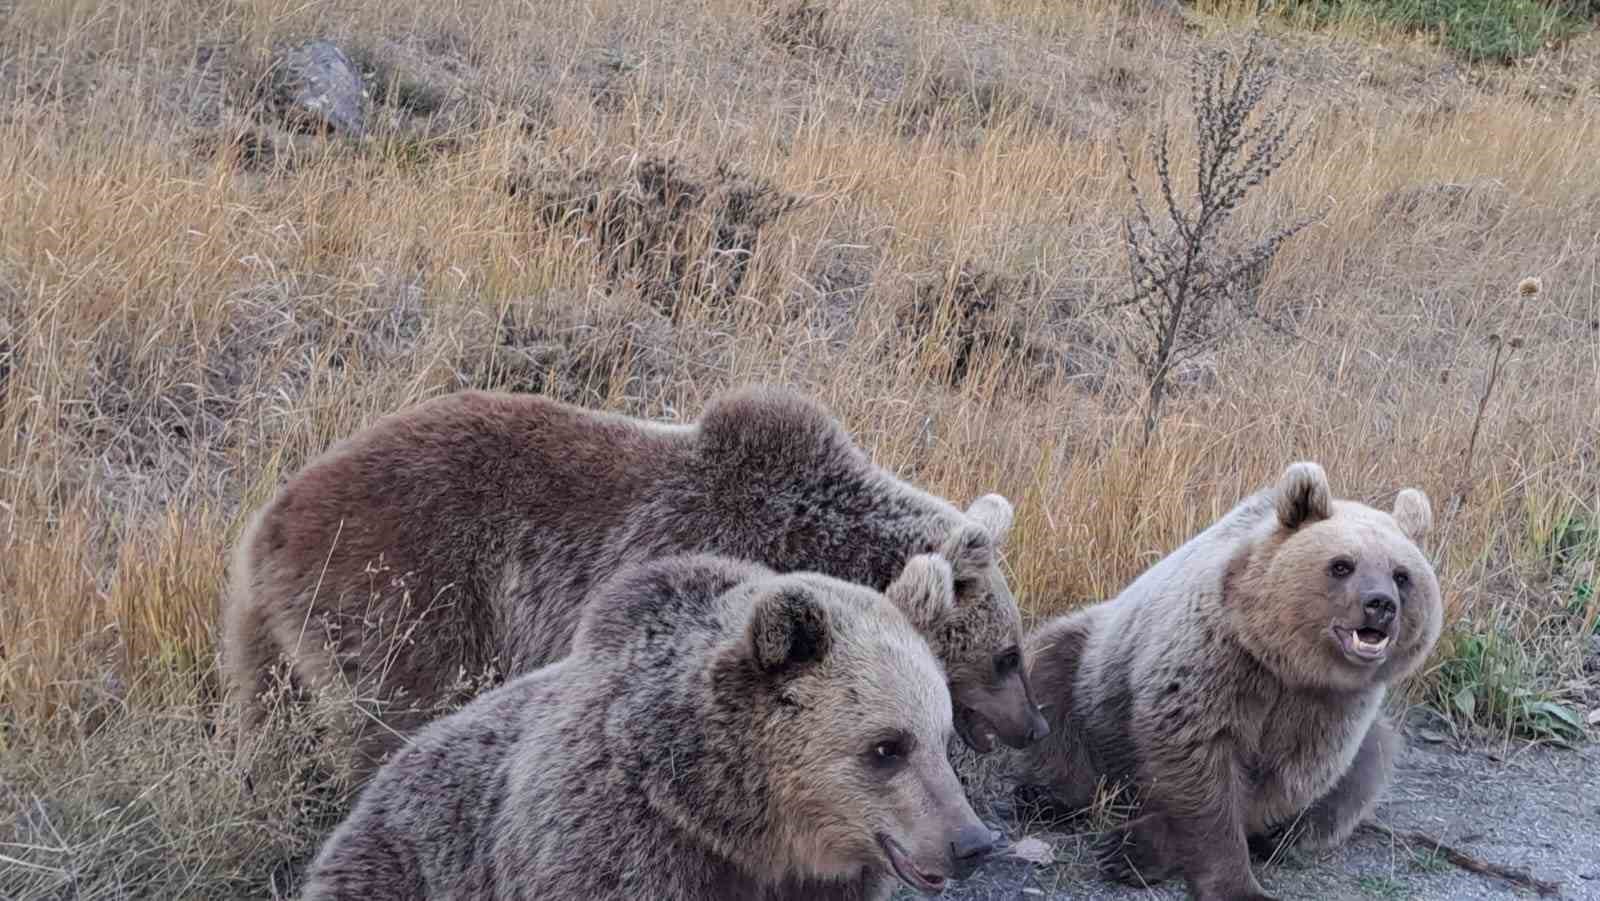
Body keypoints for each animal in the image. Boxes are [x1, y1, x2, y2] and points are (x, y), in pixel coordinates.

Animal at [225, 380, 1049, 774]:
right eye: (1008, 654)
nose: (1033, 725)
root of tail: (274, 519)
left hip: (273, 632)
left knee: (272, 720)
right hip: (407, 589)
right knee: (398, 709)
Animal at [1017, 464, 1446, 901]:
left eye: (1401, 575)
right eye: (1342, 565)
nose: (1380, 605)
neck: (1289, 664)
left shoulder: (1331, 706)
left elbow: (1279, 783)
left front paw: (1139, 849)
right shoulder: (1216, 663)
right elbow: (1201, 764)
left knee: (1368, 766)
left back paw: (1282, 837)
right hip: (1093, 665)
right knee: (1051, 684)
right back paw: (1045, 796)